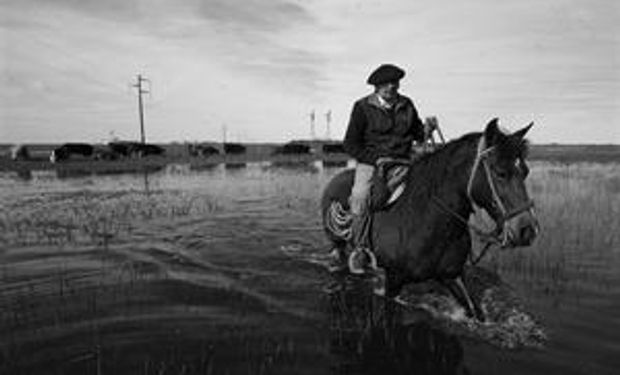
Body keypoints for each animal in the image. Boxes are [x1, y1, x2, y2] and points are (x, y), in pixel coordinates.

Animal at [322, 119, 540, 320]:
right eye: (500, 172)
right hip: (337, 243)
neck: (427, 221)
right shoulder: (393, 280)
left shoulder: (452, 275)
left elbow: (473, 309)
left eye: (525, 171)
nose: (527, 230)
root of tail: (335, 179)